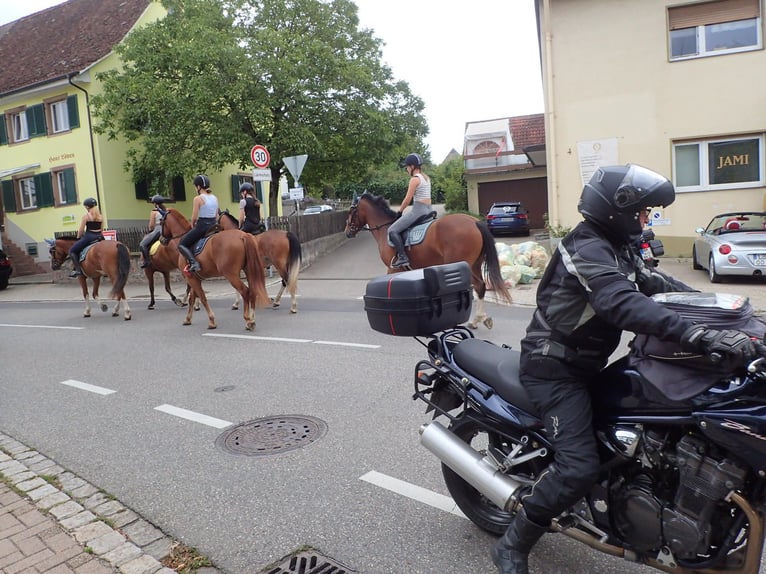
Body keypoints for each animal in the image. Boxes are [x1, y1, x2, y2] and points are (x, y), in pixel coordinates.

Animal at [344, 192, 512, 330]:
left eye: (351, 211)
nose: (347, 232)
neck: (385, 229)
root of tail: (473, 222)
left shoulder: (393, 269)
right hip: (476, 264)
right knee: (481, 287)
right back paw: (478, 320)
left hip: (462, 265)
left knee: (477, 285)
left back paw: (476, 319)